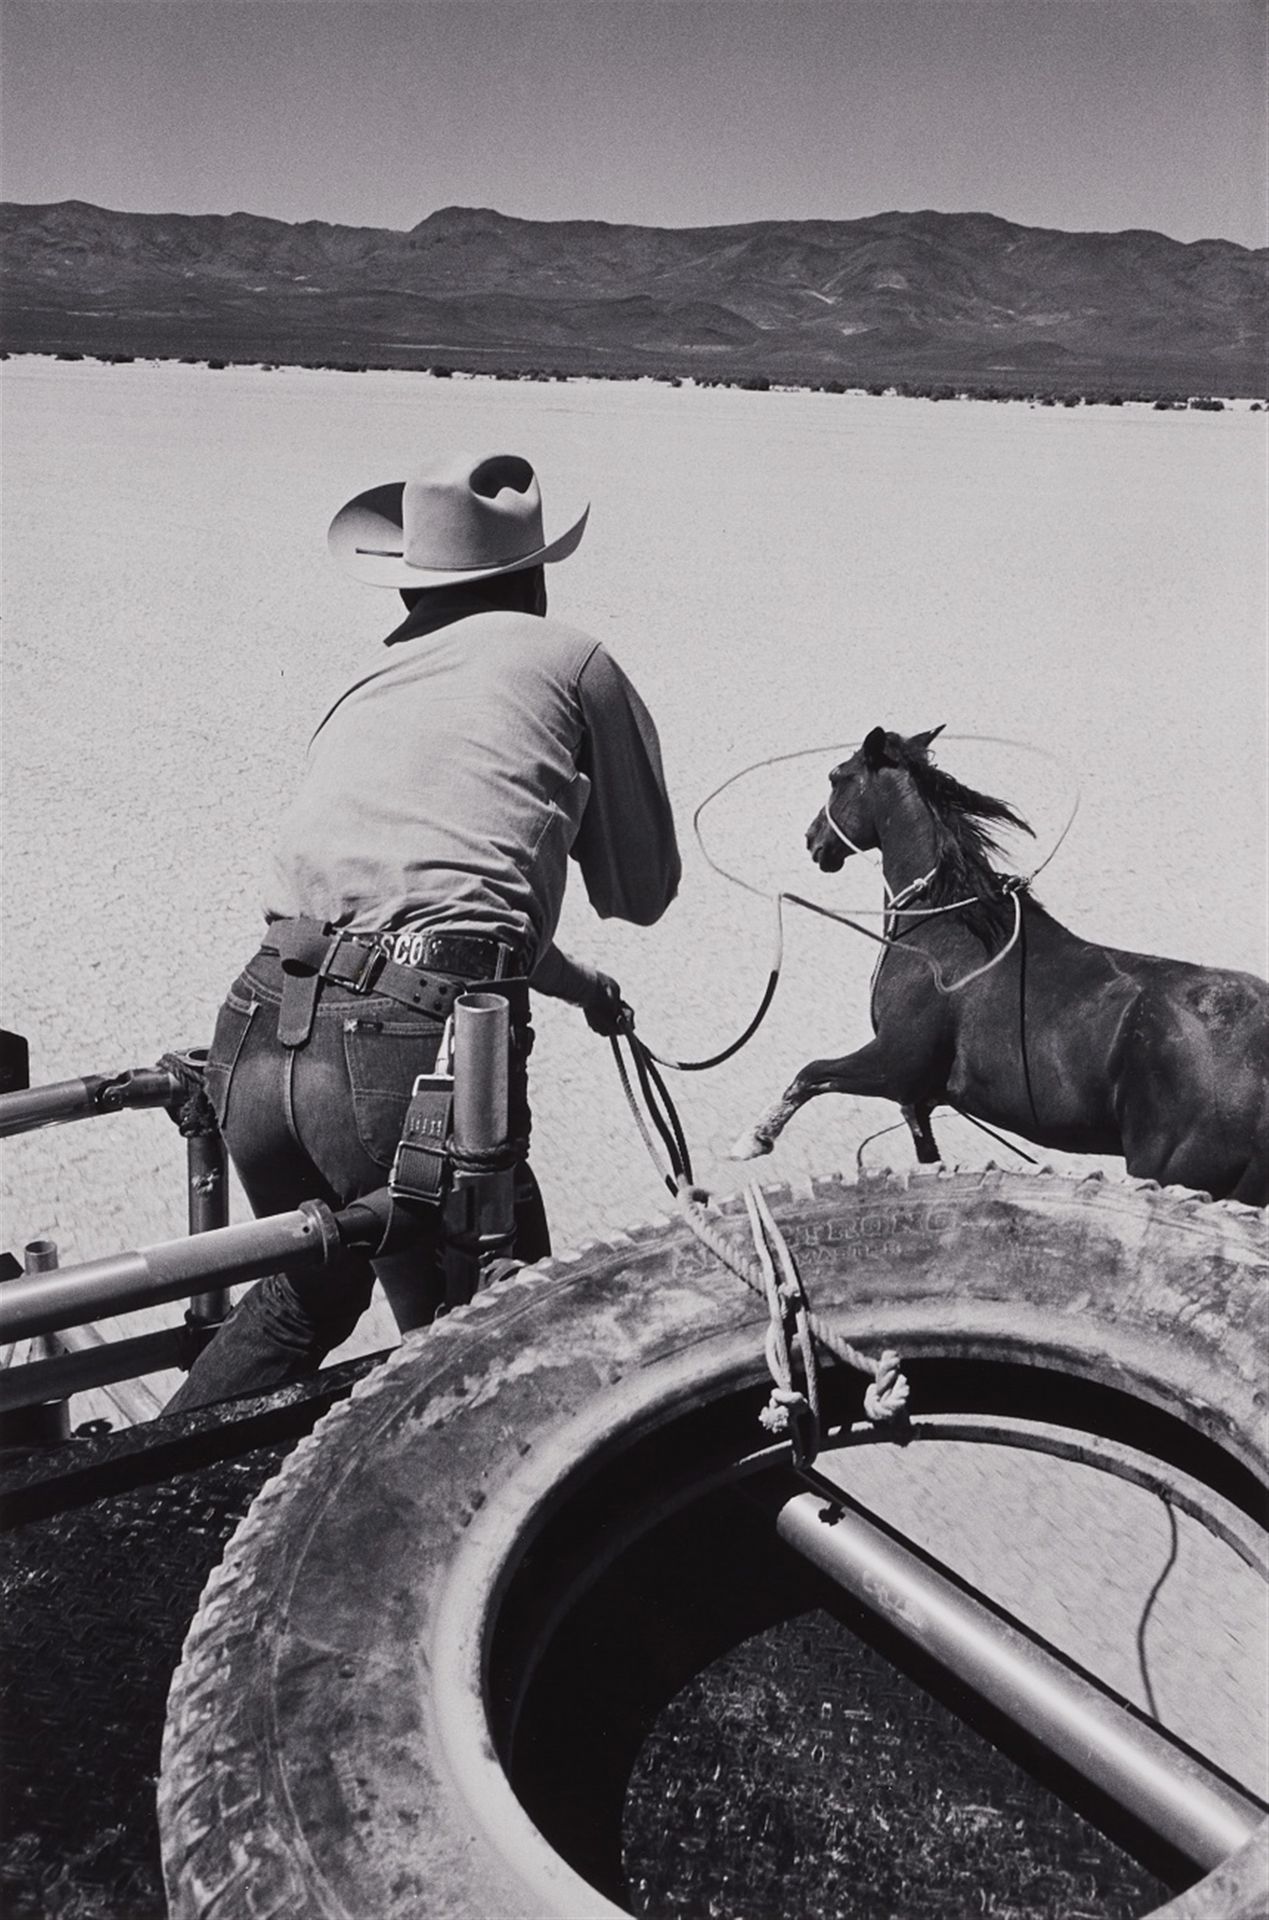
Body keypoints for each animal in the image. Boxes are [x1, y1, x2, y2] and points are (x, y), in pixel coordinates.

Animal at [733, 725, 1267, 1205]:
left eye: (836, 777)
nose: (814, 841)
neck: (944, 935)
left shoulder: (895, 1065)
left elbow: (811, 1073)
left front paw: (751, 1141)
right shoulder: (917, 1098)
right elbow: (926, 1155)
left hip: (1171, 1169)